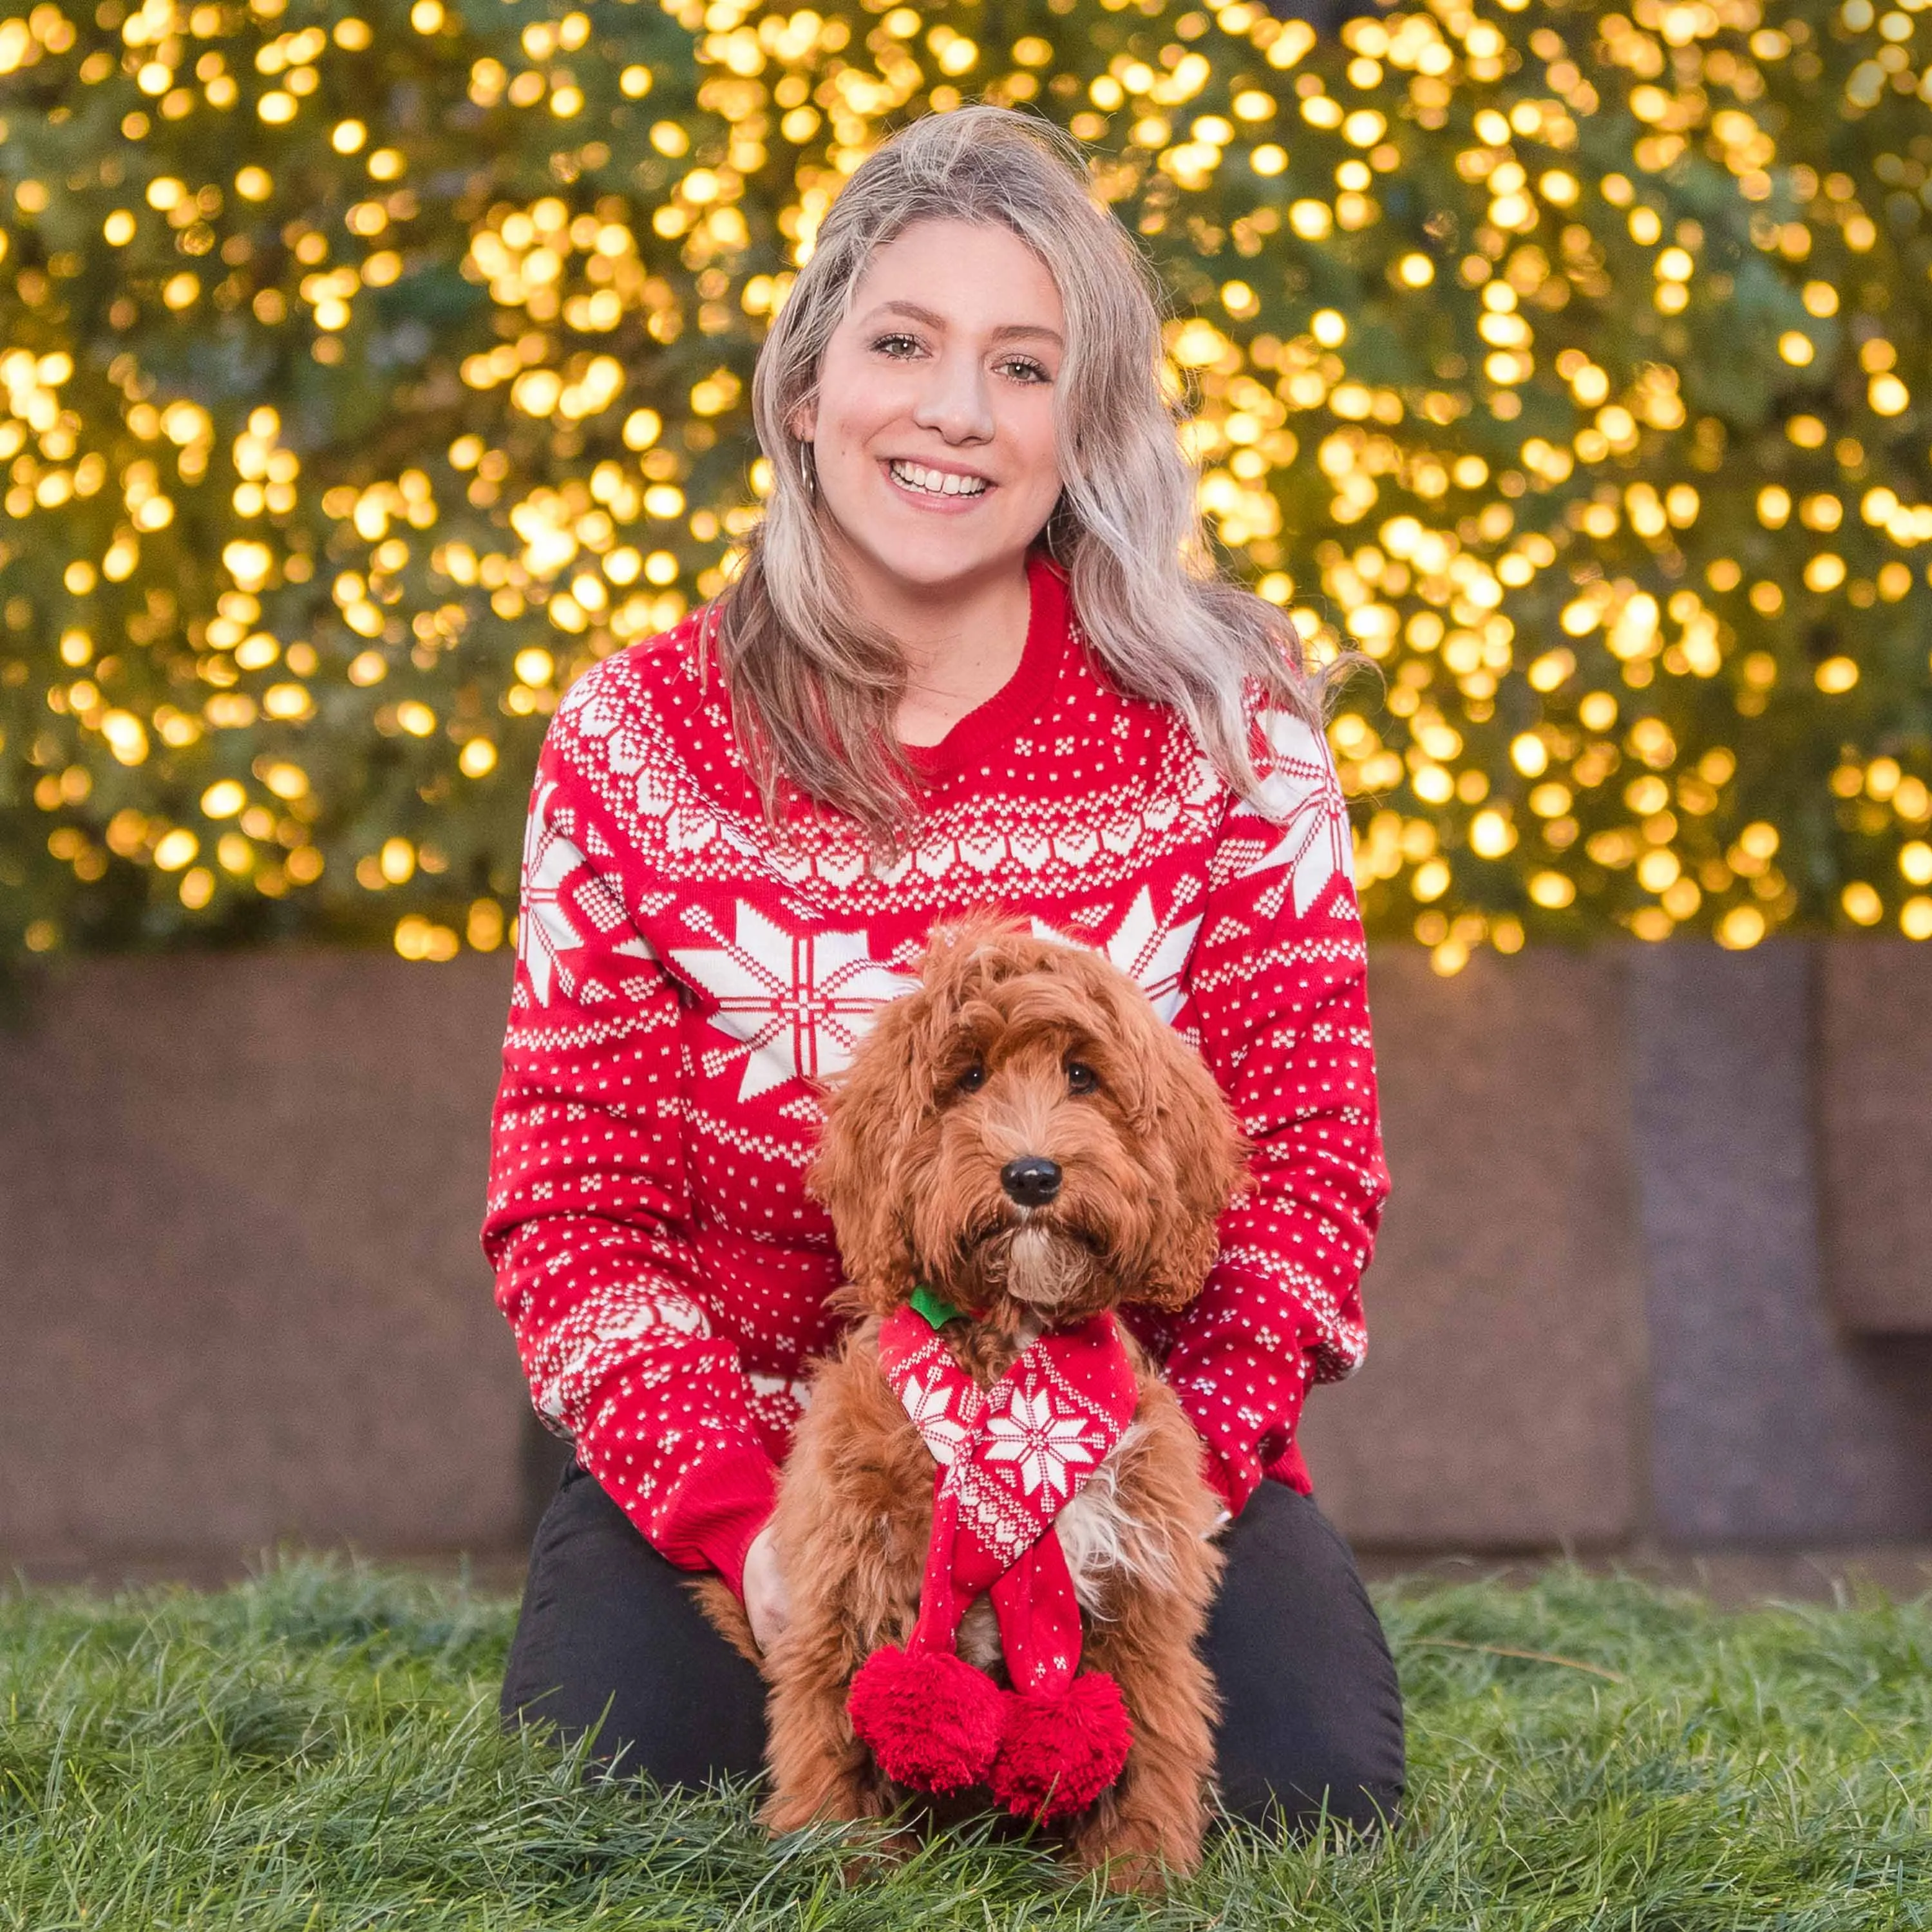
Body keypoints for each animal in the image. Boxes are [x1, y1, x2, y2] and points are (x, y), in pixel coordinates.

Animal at [703, 920, 1244, 1886]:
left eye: (1082, 1075)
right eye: (968, 1079)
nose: (1032, 1176)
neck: (1011, 1364)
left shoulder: (1139, 1600)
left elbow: (1148, 1744)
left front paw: (1138, 1880)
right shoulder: (846, 1588)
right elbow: (831, 1743)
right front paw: (837, 1870)